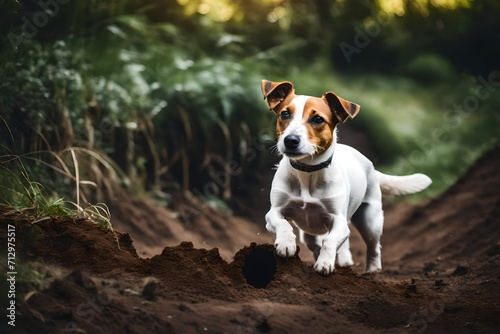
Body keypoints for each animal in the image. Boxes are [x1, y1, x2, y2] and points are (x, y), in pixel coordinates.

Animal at [264, 79, 432, 276]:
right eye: (285, 114)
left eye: (318, 119)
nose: (290, 140)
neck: (308, 173)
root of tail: (371, 167)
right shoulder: (274, 211)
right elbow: (282, 223)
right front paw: (286, 243)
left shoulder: (339, 221)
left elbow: (330, 241)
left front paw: (325, 263)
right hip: (311, 233)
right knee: (318, 244)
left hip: (370, 221)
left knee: (373, 247)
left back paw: (372, 270)